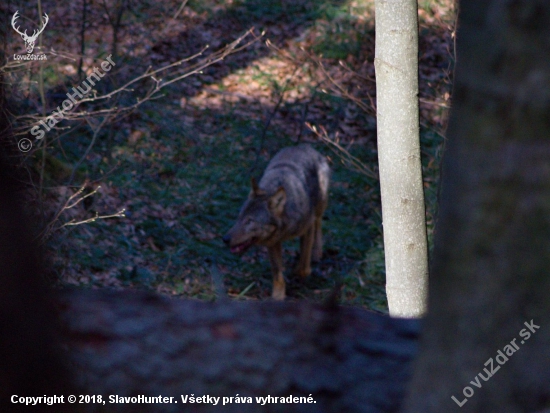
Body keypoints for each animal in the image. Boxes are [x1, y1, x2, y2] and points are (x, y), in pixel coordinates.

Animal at [222, 145, 330, 300]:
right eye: (240, 218)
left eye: (250, 221)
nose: (225, 239)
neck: (284, 228)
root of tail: (305, 146)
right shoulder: (272, 242)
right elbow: (278, 276)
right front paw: (277, 297)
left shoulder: (307, 228)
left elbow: (303, 268)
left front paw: (297, 271)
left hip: (320, 204)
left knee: (318, 221)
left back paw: (317, 252)